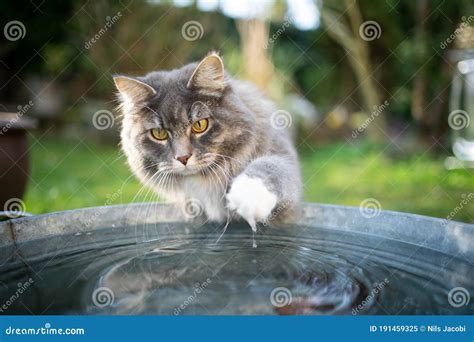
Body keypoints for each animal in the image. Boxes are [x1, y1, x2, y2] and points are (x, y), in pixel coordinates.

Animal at [113, 52, 302, 231]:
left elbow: (272, 166)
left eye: (200, 125)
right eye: (159, 133)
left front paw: (249, 194)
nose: (182, 158)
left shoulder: (283, 158)